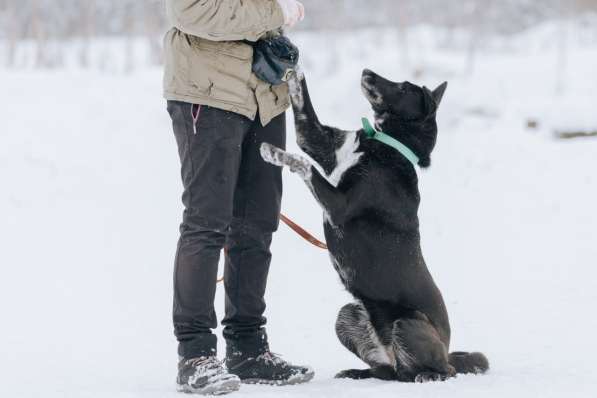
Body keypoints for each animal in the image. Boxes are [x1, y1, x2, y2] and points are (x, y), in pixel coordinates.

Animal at [260, 69, 488, 382]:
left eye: (403, 88)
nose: (367, 72)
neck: (387, 143)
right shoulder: (318, 141)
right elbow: (305, 115)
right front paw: (293, 75)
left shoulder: (338, 205)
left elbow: (306, 165)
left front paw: (275, 152)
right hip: (347, 314)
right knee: (389, 372)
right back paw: (358, 372)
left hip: (407, 323)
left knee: (441, 369)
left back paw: (430, 375)